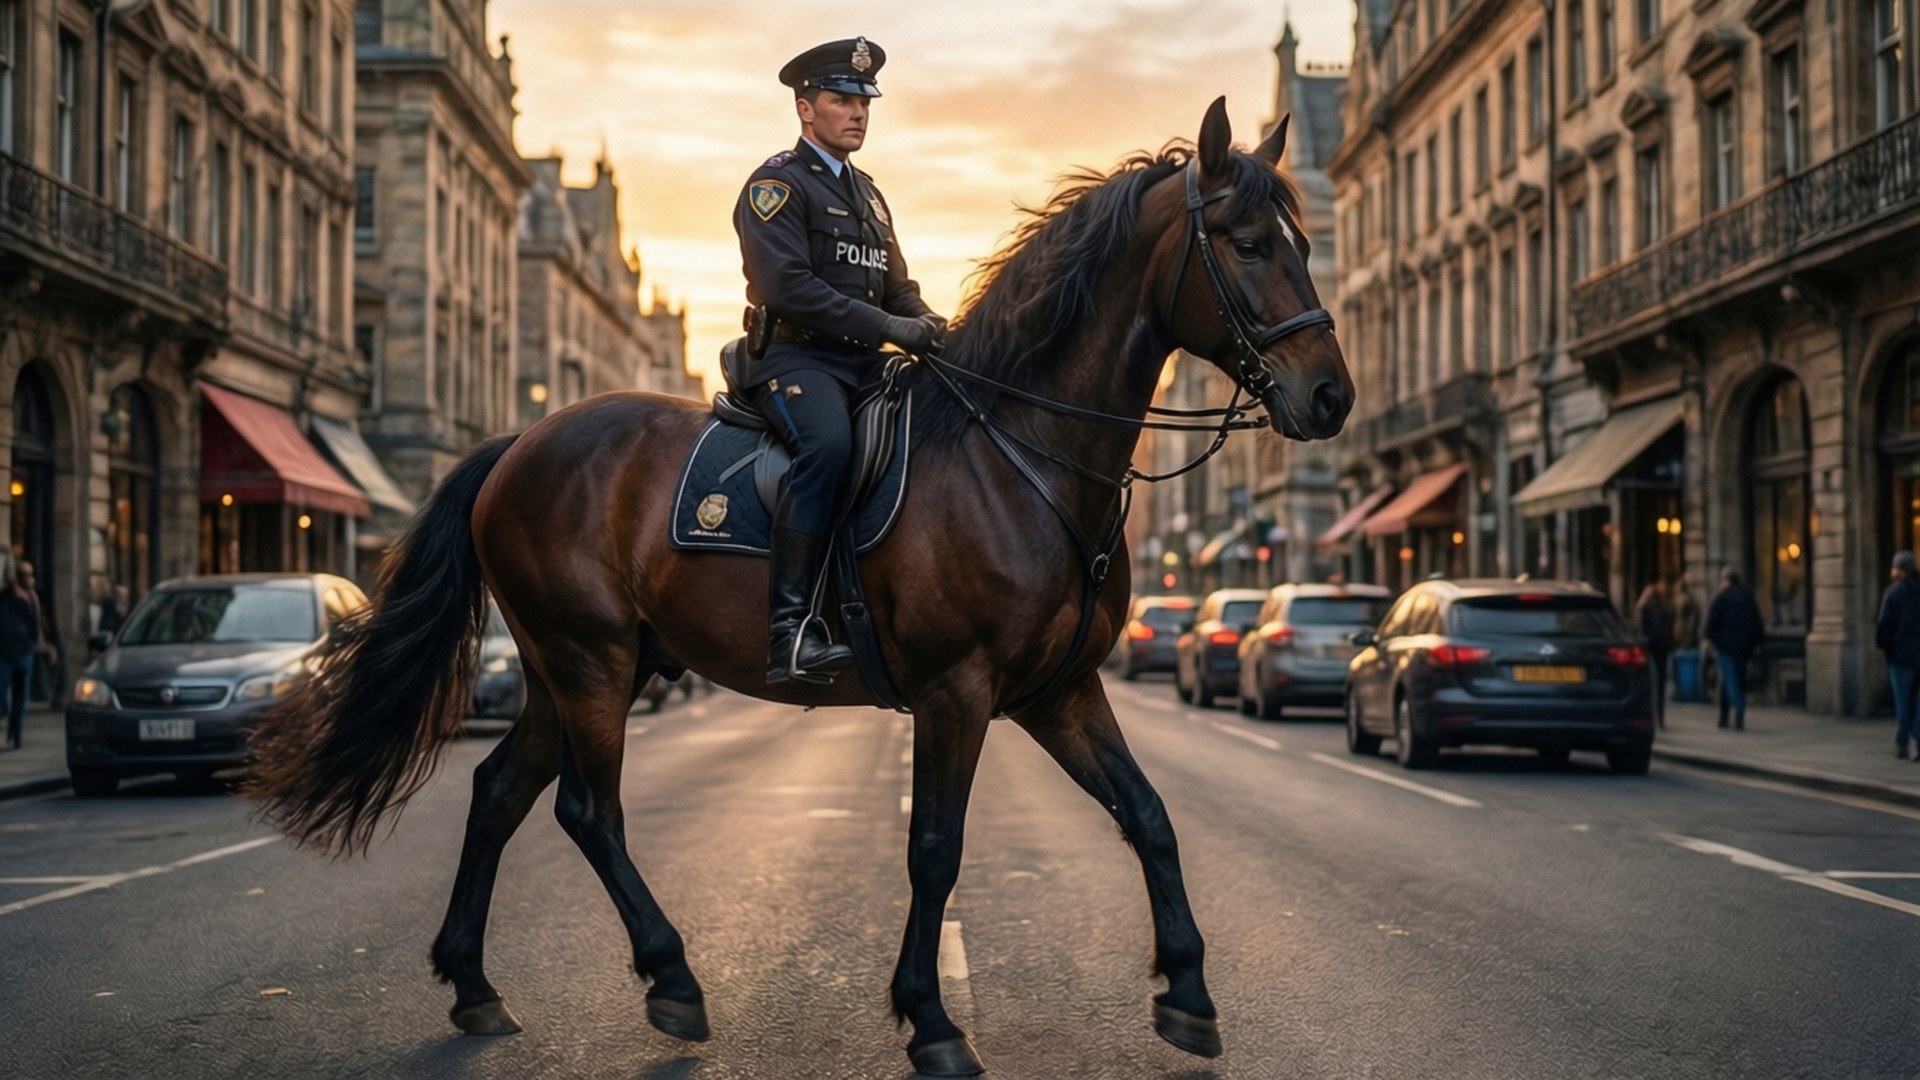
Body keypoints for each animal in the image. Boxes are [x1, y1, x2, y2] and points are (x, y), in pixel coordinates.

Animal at [246, 97, 1353, 1077]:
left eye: (1305, 237)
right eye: (1248, 243)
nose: (1332, 395)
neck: (1017, 451)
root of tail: (522, 439)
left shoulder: (1059, 691)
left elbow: (1149, 816)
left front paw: (1189, 992)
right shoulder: (957, 691)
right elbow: (936, 848)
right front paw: (930, 1020)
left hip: (586, 666)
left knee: (498, 791)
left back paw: (475, 985)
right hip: (586, 655)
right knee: (588, 812)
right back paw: (671, 978)